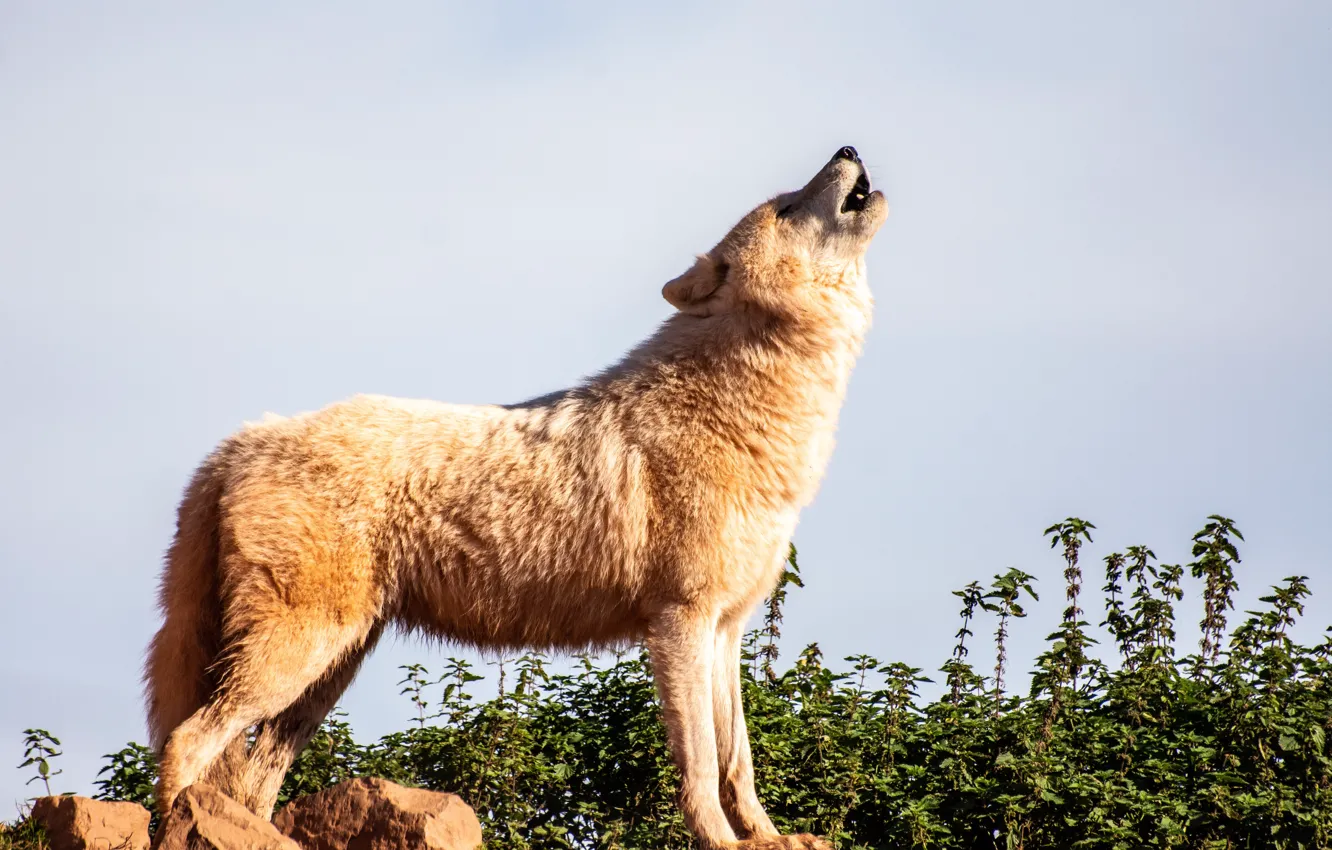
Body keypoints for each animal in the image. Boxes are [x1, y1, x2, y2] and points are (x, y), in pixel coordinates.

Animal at [144, 146, 888, 849]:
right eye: (787, 206)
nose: (849, 147)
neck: (742, 410)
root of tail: (237, 443)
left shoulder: (728, 627)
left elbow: (740, 759)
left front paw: (770, 836)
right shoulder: (680, 621)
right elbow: (701, 762)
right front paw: (721, 841)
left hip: (326, 669)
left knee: (252, 778)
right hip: (297, 654)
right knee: (187, 742)